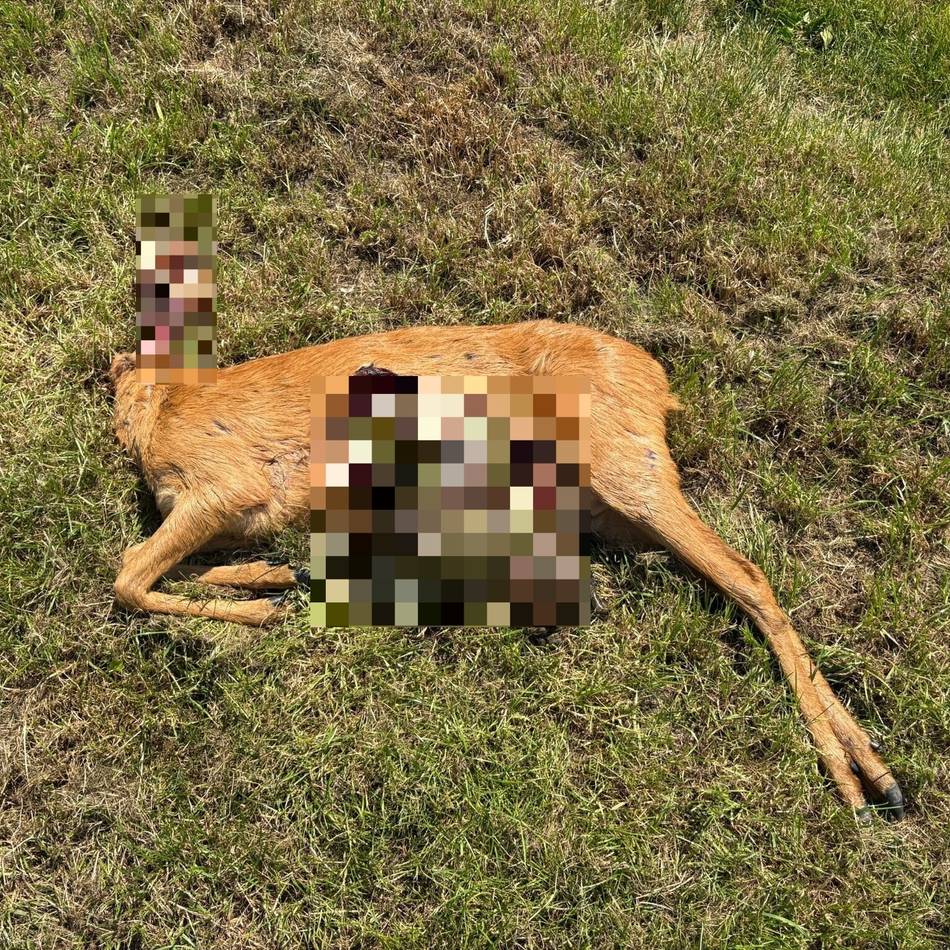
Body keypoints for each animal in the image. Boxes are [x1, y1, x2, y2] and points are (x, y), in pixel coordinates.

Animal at [109, 318, 904, 817]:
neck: (159, 409)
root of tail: (656, 378)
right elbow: (165, 574)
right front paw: (270, 587)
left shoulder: (227, 485)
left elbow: (128, 575)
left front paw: (261, 603)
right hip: (606, 506)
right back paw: (876, 774)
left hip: (626, 465)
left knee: (747, 572)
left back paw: (863, 779)